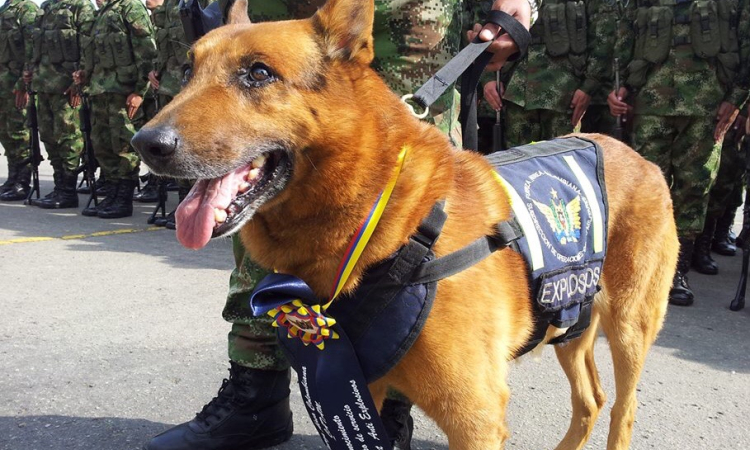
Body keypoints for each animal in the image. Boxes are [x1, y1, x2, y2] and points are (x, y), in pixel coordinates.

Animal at [132, 0, 680, 446]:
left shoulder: (474, 417)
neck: (388, 225)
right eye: (189, 70)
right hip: (571, 325)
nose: (145, 144)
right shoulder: (358, 390)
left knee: (622, 410)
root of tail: (635, 154)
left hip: (630, 330)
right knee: (591, 401)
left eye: (258, 74)